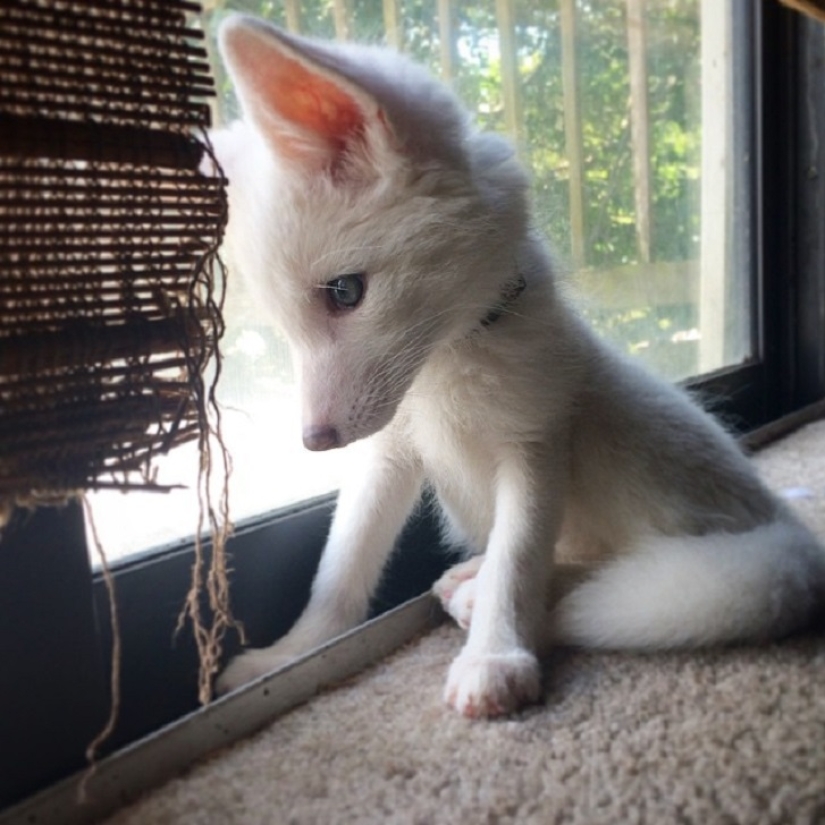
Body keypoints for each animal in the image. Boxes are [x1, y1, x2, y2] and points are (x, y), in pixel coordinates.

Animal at [210, 14, 825, 718]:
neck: (446, 362)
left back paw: (494, 592)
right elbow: (342, 564)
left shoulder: (536, 441)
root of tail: (785, 526)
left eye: (345, 292)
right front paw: (291, 655)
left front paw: (495, 655)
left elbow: (520, 561)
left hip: (629, 436)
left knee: (629, 565)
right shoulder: (389, 452)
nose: (316, 440)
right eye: (285, 324)